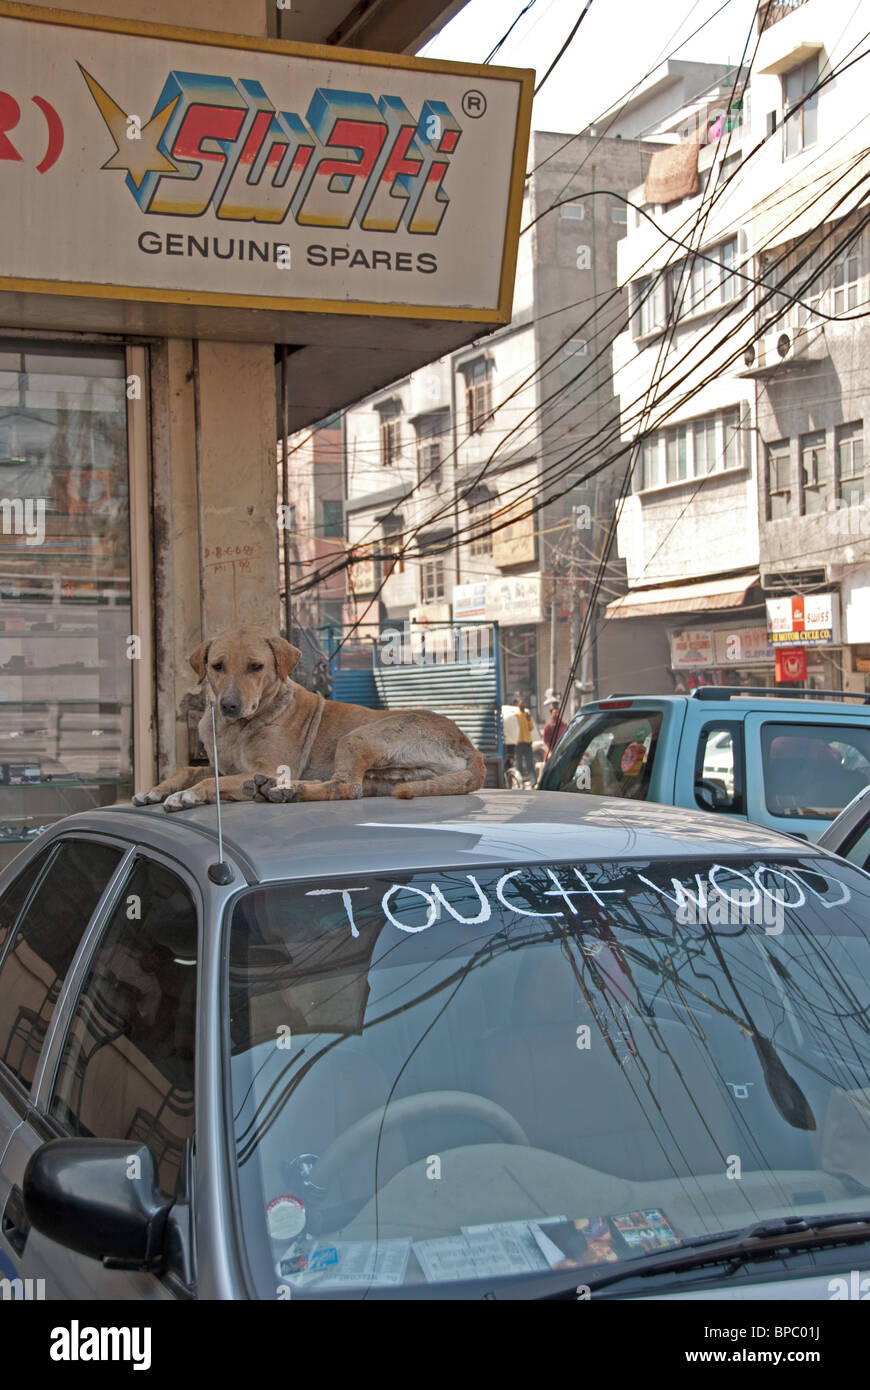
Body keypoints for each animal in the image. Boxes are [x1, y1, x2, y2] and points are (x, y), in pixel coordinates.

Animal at [135, 625, 489, 811]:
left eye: (256, 667)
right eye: (217, 666)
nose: (229, 705)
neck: (235, 729)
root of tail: (470, 746)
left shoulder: (269, 767)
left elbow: (213, 781)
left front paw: (188, 795)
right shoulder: (223, 765)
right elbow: (188, 769)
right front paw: (155, 790)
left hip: (358, 737)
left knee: (346, 787)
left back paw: (289, 791)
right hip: (389, 777)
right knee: (349, 787)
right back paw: (285, 791)